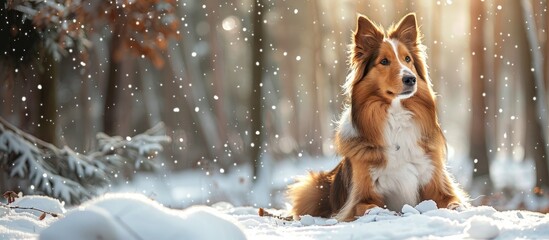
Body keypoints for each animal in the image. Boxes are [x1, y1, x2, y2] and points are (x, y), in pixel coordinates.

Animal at [286, 13, 466, 221]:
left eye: (407, 59)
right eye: (384, 61)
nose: (411, 79)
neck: (396, 118)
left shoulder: (436, 183)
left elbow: (453, 201)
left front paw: (459, 209)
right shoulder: (361, 196)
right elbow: (369, 207)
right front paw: (382, 213)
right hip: (310, 186)